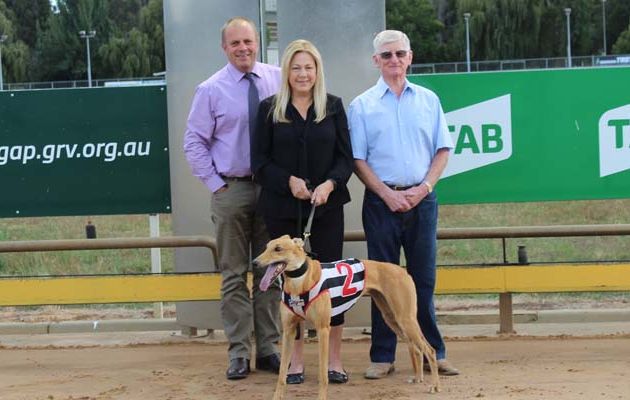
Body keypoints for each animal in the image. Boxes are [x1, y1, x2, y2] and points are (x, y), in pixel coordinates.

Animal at [254, 234, 442, 400]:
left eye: (278, 248)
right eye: (266, 247)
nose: (254, 262)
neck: (300, 281)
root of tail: (403, 271)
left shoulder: (323, 330)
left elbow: (323, 375)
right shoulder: (289, 331)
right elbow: (282, 373)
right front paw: (277, 396)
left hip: (405, 318)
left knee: (430, 350)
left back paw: (435, 385)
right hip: (392, 318)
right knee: (416, 348)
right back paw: (418, 377)